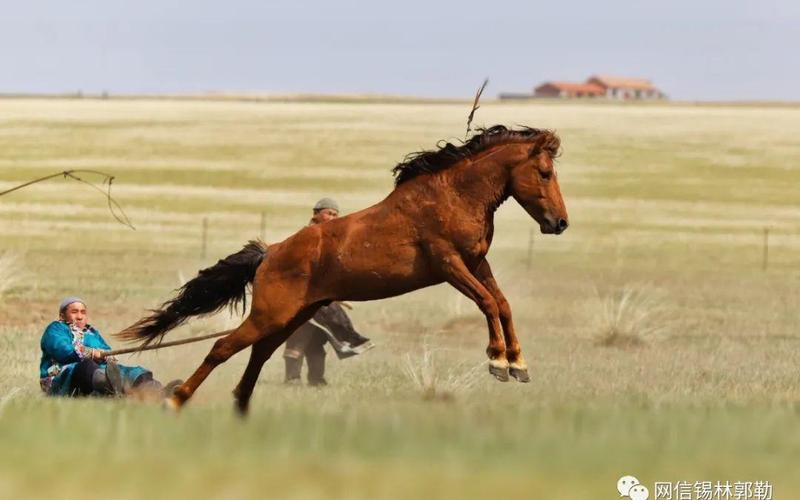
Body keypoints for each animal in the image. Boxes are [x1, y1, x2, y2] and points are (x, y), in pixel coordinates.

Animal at [120, 126, 568, 414]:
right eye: (545, 172)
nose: (560, 223)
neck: (453, 196)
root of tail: (271, 253)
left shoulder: (476, 262)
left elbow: (502, 304)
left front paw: (518, 365)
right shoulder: (450, 264)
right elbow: (488, 303)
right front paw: (498, 362)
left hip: (293, 316)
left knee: (261, 352)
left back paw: (241, 406)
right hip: (271, 314)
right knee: (223, 348)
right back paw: (177, 399)